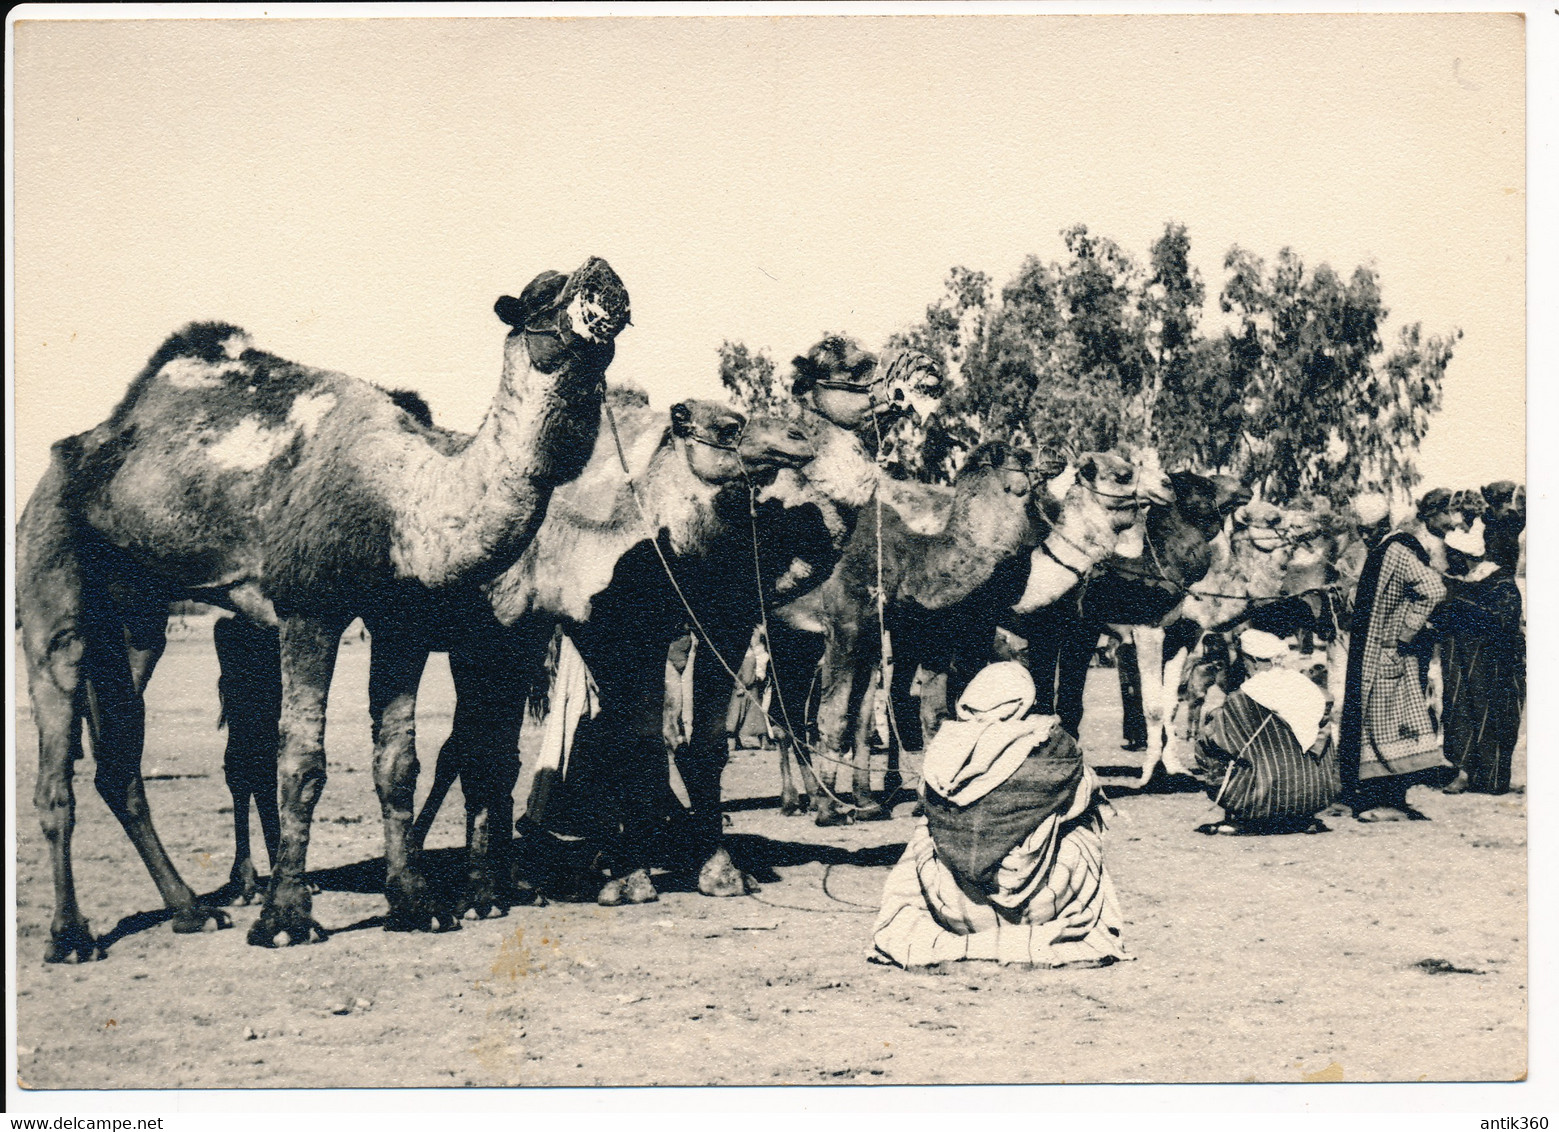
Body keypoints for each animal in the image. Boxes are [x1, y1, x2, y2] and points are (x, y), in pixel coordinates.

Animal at [18, 261, 626, 960]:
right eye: (541, 293)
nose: (602, 273)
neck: (403, 502)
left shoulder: (400, 621)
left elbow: (398, 762)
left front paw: (415, 904)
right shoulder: (309, 605)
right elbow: (301, 762)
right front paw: (285, 918)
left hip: (135, 621)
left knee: (119, 761)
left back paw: (192, 910)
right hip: (50, 576)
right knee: (57, 759)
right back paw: (72, 936)